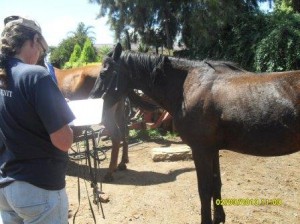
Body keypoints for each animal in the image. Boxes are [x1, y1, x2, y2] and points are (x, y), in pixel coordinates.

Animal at [89, 43, 300, 223]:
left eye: (104, 73)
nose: (91, 101)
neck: (188, 87)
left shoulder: (201, 150)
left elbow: (204, 190)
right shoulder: (212, 150)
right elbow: (216, 184)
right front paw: (219, 218)